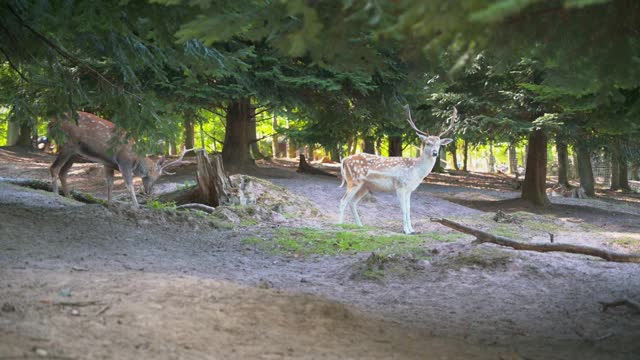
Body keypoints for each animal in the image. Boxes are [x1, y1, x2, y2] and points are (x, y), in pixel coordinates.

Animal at [49, 112, 191, 208]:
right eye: (157, 176)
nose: (148, 191)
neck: (136, 159)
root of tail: (51, 122)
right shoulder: (124, 161)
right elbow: (129, 184)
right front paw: (136, 206)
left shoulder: (107, 164)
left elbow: (110, 183)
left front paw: (110, 204)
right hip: (68, 143)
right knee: (54, 168)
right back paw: (56, 196)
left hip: (75, 153)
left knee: (63, 172)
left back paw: (69, 198)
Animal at [338, 105, 458, 233]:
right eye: (427, 143)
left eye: (439, 144)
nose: (435, 153)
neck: (416, 172)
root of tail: (344, 160)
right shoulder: (400, 187)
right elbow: (403, 209)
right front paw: (406, 231)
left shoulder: (409, 189)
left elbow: (409, 208)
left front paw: (412, 230)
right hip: (354, 181)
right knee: (343, 201)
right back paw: (339, 225)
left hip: (365, 186)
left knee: (352, 202)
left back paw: (360, 225)